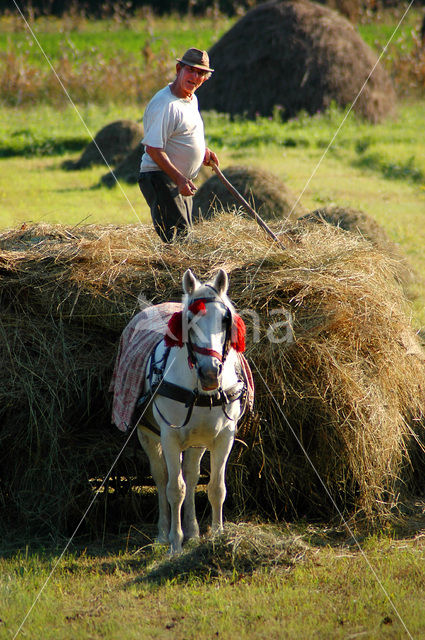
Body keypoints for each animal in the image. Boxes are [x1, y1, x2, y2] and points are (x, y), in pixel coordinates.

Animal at [136, 268, 248, 552]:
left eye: (225, 320)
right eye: (188, 320)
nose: (210, 373)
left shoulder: (224, 437)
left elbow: (216, 487)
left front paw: (217, 536)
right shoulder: (170, 437)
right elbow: (175, 489)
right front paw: (175, 544)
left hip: (197, 442)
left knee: (192, 475)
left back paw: (194, 532)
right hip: (147, 435)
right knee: (161, 477)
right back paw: (163, 534)